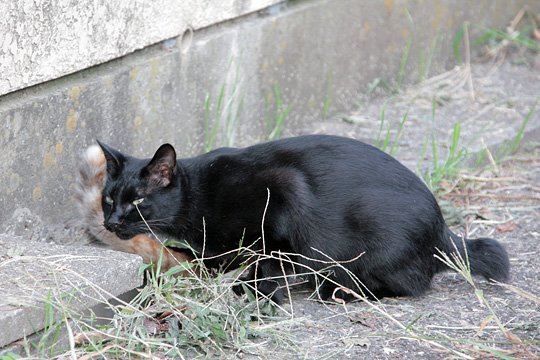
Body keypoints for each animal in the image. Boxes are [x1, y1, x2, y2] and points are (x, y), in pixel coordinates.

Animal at [98, 136, 510, 304]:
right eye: (108, 199)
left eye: (138, 201)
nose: (111, 222)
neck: (199, 192)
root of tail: (444, 231)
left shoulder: (283, 188)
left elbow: (261, 258)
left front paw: (256, 291)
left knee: (408, 285)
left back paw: (340, 290)